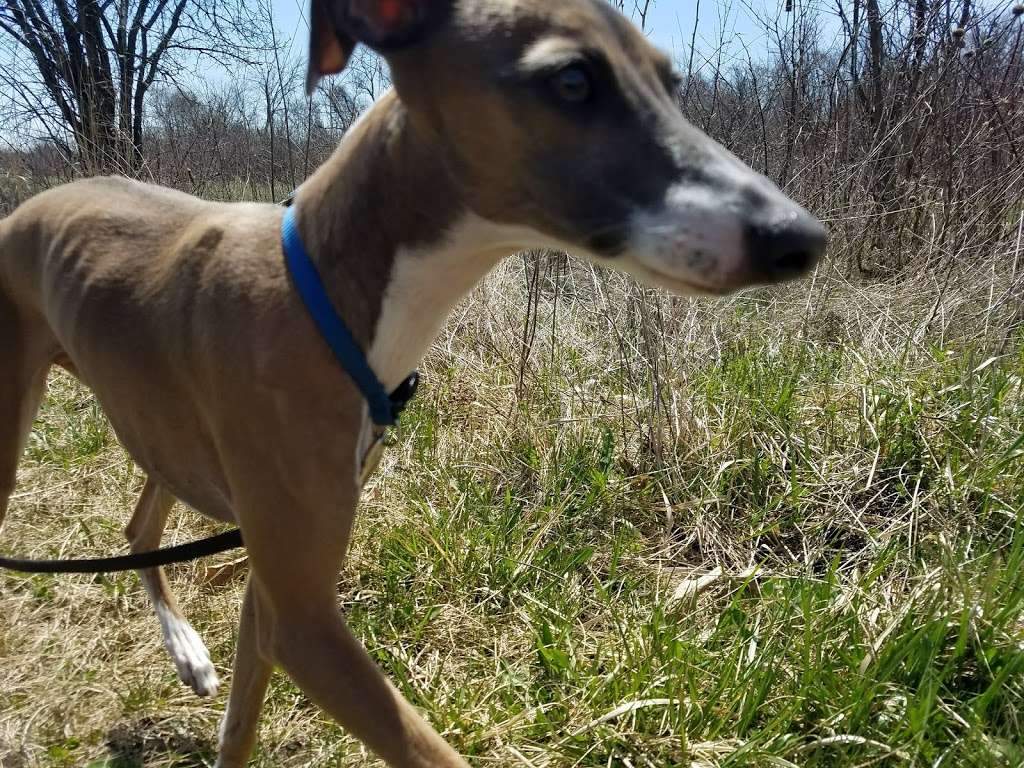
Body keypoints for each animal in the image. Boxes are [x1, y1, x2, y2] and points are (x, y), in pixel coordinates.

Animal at [0, 1, 827, 765]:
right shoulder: (305, 619)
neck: (329, 293)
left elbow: (240, 725)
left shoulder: (279, 594)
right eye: (572, 79)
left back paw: (186, 651)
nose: (802, 240)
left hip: (162, 428)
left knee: (140, 525)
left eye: (670, 83)